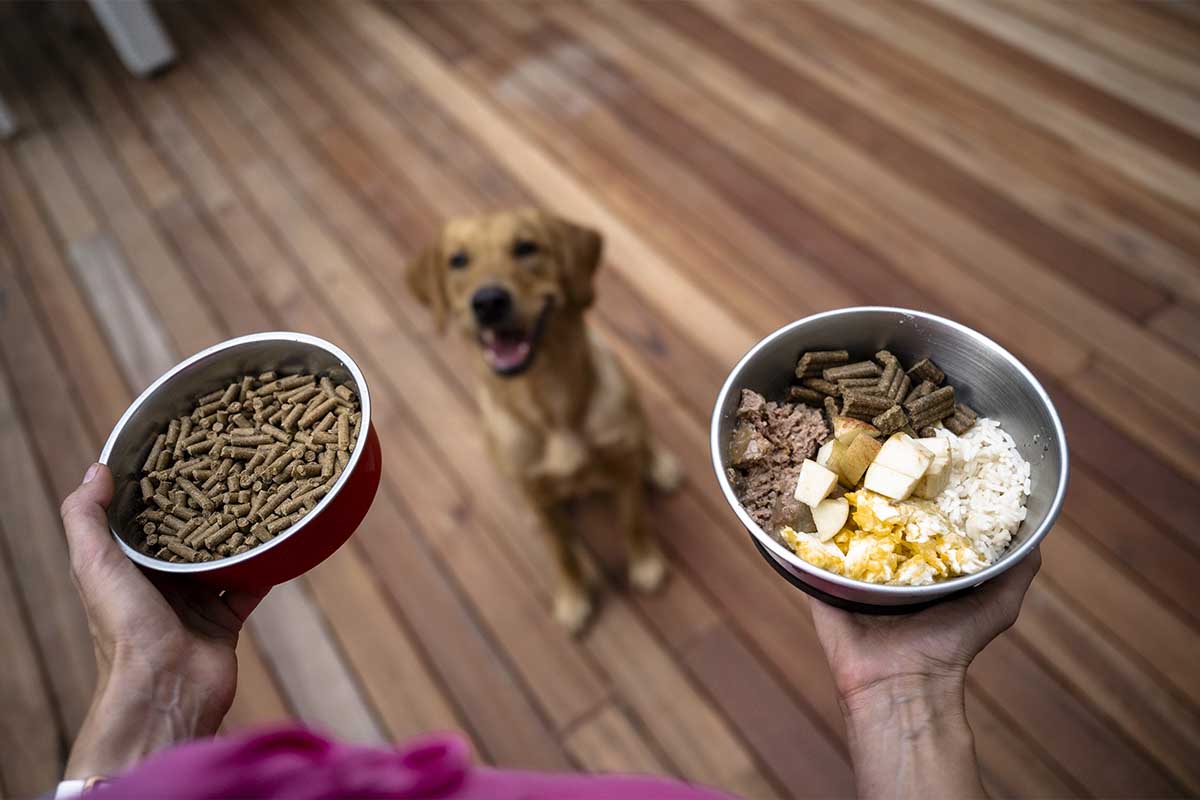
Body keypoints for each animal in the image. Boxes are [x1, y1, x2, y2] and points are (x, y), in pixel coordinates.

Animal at [408, 209, 681, 633]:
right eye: (458, 260)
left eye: (526, 247)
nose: (488, 301)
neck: (550, 400)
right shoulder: (539, 492)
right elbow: (562, 552)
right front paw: (573, 597)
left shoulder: (623, 470)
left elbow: (633, 519)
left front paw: (646, 564)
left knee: (641, 441)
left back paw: (658, 464)